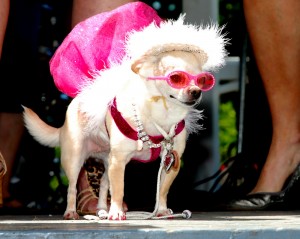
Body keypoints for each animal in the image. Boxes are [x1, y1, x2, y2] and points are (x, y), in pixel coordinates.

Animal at [22, 15, 227, 220]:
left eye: (203, 80)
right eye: (176, 78)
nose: (196, 91)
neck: (162, 115)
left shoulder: (170, 160)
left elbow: (162, 189)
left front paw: (161, 210)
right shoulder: (119, 161)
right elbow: (119, 190)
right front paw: (117, 212)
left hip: (108, 160)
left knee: (104, 184)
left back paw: (101, 210)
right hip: (75, 158)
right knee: (72, 188)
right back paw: (72, 212)